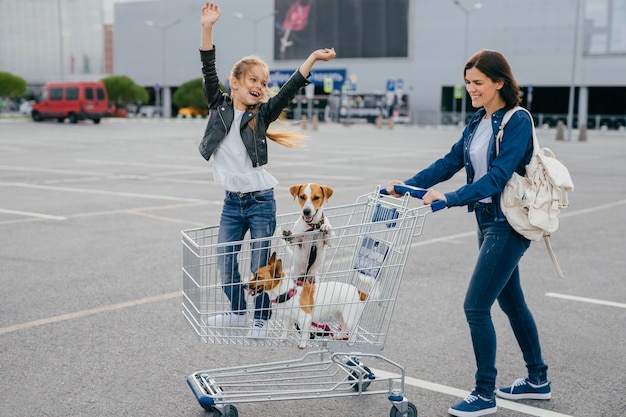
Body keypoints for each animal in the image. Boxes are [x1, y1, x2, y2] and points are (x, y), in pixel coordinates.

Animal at [246, 250, 378, 348]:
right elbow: (285, 331)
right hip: (338, 314)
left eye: (258, 277)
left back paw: (351, 342)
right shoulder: (288, 319)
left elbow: (304, 333)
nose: (244, 285)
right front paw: (282, 339)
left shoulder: (305, 319)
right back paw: (339, 336)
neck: (288, 293)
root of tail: (360, 292)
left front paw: (303, 344)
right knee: (344, 327)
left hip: (350, 317)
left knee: (354, 331)